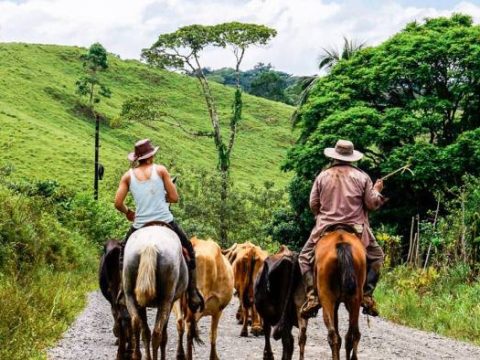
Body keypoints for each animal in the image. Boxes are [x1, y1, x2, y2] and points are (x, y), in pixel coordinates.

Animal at [122, 226, 188, 358]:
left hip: (130, 295)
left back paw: (137, 355)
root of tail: (149, 245)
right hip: (166, 300)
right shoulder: (170, 302)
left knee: (136, 323)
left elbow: (145, 333)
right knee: (157, 332)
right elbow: (163, 335)